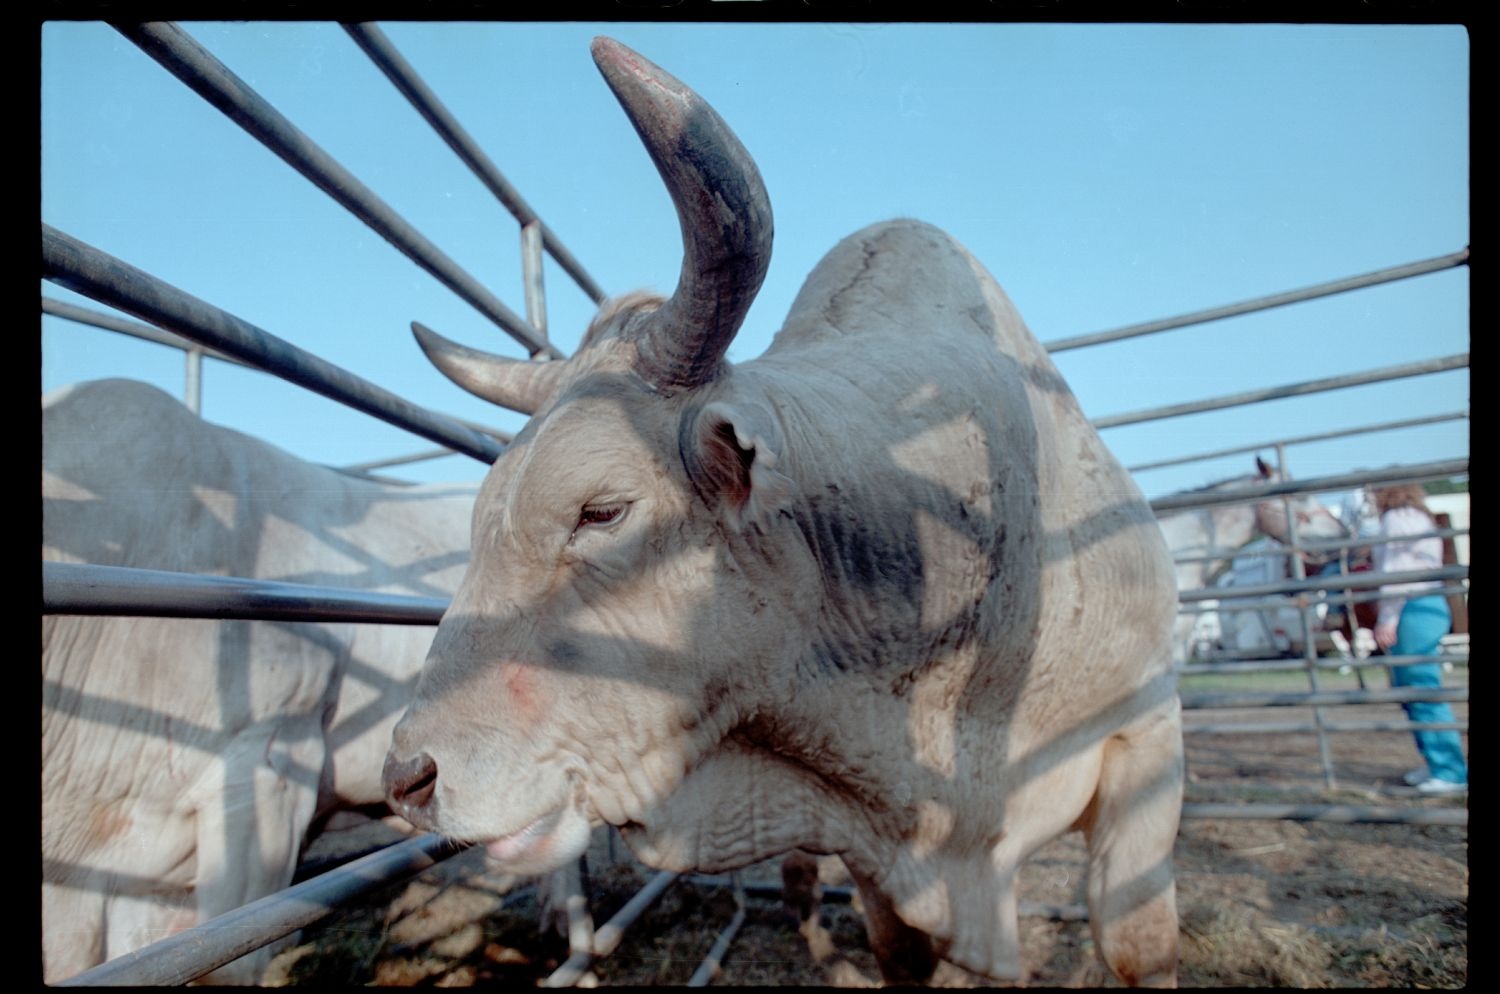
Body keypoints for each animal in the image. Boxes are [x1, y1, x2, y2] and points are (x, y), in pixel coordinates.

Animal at [378, 36, 1182, 989]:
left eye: (601, 511)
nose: (408, 777)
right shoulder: (874, 851)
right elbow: (896, 948)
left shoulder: (1146, 733)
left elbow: (1137, 941)